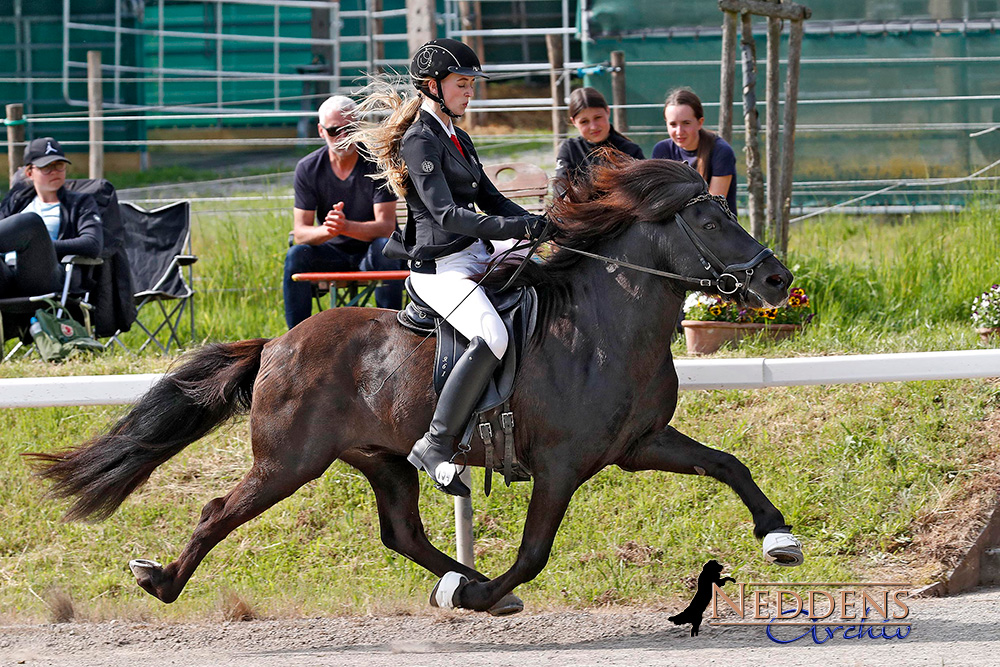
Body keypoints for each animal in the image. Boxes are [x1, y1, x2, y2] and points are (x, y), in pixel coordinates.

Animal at [25, 157, 804, 616]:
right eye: (709, 218)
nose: (776, 280)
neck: (607, 327)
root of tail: (278, 343)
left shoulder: (640, 442)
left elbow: (728, 464)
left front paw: (779, 538)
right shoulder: (560, 465)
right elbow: (534, 552)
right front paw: (488, 591)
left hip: (382, 458)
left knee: (400, 529)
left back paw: (456, 579)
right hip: (288, 461)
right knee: (220, 510)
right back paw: (160, 581)